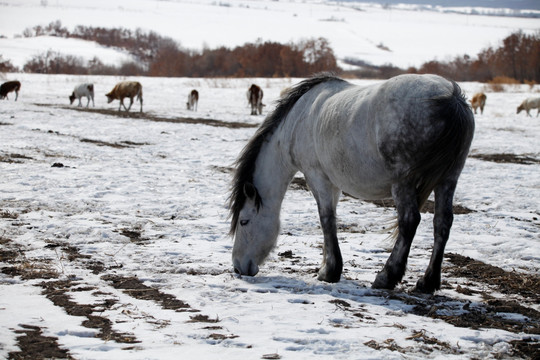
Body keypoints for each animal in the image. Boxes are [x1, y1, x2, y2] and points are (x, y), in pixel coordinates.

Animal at [230, 72, 474, 292]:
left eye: (244, 221)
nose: (238, 267)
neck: (297, 121)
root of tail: (451, 97)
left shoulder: (316, 176)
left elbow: (326, 219)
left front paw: (330, 271)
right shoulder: (332, 181)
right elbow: (330, 218)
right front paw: (325, 267)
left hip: (403, 183)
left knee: (409, 222)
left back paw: (386, 277)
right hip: (448, 179)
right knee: (442, 222)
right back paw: (427, 282)